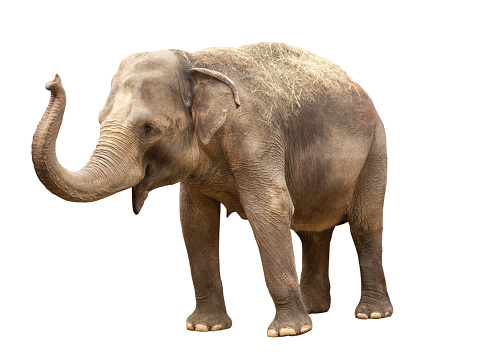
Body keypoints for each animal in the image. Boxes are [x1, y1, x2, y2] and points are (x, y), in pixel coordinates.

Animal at [32, 41, 394, 338]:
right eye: (100, 120)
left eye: (148, 129)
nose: (52, 81)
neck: (195, 61)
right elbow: (195, 221)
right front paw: (205, 328)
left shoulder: (255, 134)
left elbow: (269, 209)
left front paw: (288, 332)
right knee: (313, 233)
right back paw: (315, 308)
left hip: (376, 151)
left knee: (364, 225)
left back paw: (371, 314)